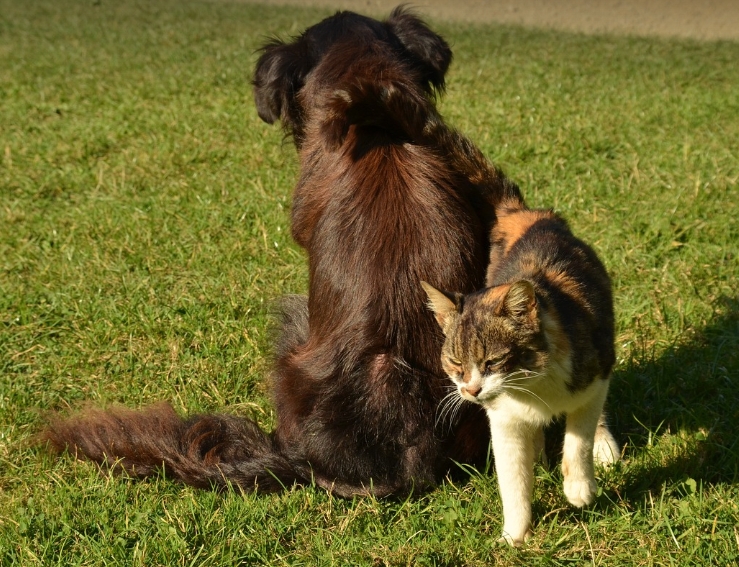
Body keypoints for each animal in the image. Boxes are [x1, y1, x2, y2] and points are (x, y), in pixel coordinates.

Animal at [422, 196, 620, 544]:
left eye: (492, 362)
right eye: (456, 363)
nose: (471, 390)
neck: (531, 385)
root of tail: (529, 215)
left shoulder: (594, 378)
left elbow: (578, 435)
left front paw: (579, 488)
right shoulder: (503, 419)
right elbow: (512, 478)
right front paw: (514, 536)